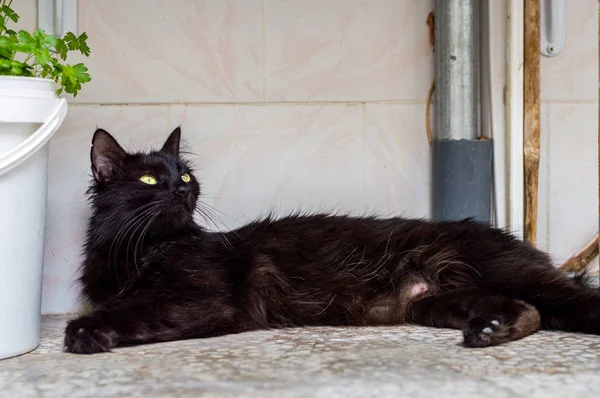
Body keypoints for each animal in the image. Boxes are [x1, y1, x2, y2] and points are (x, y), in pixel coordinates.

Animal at [63, 128, 596, 354]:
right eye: (151, 179)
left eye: (187, 174)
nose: (181, 188)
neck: (140, 250)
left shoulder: (202, 298)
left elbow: (137, 311)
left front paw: (87, 333)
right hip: (438, 302)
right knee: (531, 311)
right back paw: (489, 332)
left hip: (505, 274)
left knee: (568, 301)